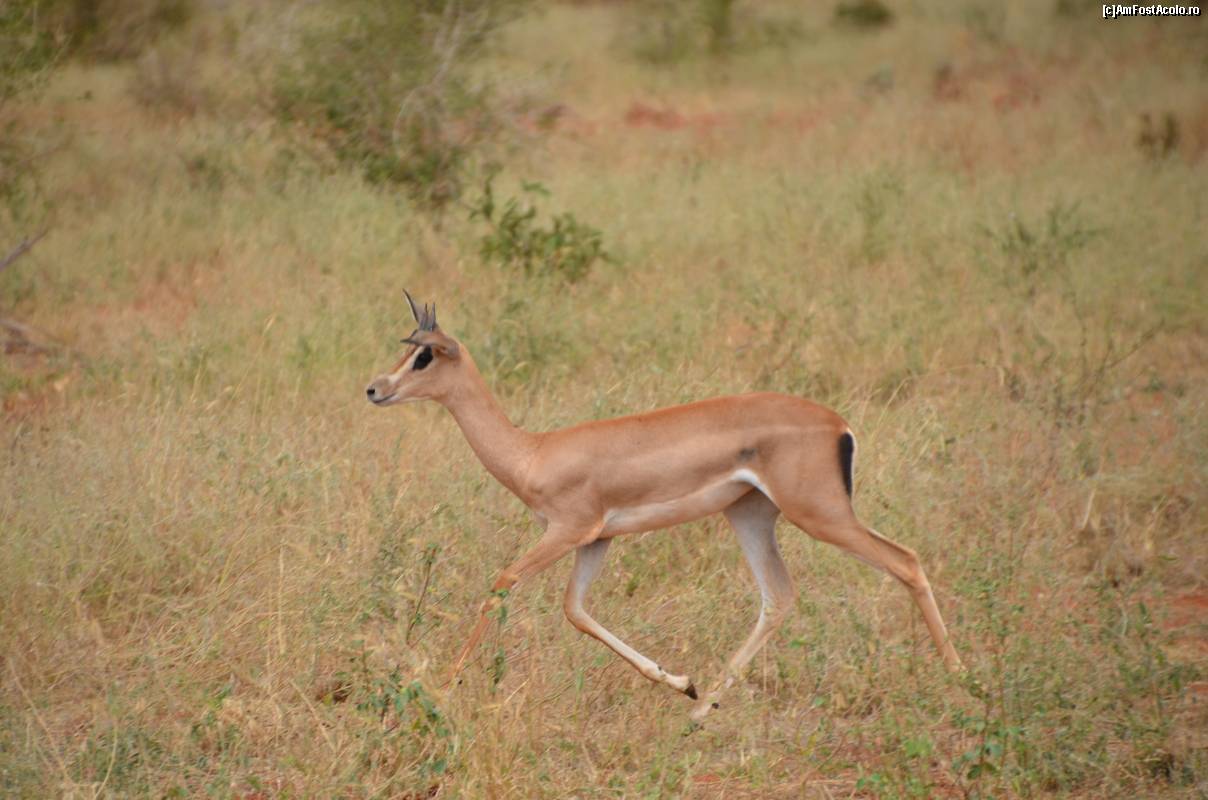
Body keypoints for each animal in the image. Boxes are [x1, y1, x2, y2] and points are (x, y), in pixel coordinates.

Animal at [365, 292, 962, 720]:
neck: (534, 452)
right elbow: (576, 611)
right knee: (778, 597)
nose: (374, 389)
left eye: (424, 354)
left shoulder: (566, 531)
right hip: (750, 515)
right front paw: (682, 683)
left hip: (821, 516)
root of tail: (841, 426)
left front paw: (441, 688)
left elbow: (501, 584)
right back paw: (700, 710)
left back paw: (960, 683)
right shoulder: (597, 540)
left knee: (906, 561)